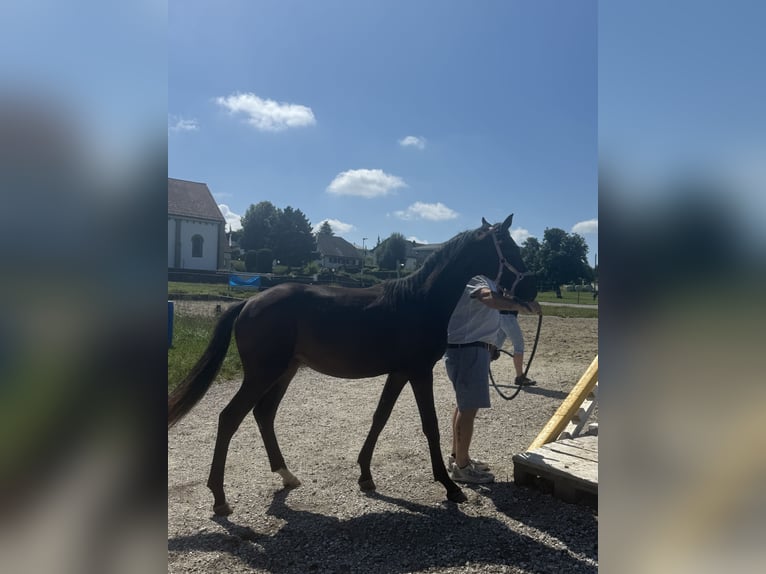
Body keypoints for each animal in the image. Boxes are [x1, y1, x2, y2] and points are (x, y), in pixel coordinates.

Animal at [168, 214, 537, 515]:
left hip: (284, 372)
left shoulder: (399, 373)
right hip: (262, 374)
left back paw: (287, 476)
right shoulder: (419, 372)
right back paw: (220, 499)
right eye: (508, 246)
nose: (532, 289)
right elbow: (429, 425)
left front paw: (365, 476)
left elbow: (380, 418)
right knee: (230, 418)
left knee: (264, 415)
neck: (419, 300)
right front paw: (449, 487)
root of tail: (249, 302)